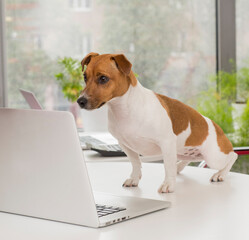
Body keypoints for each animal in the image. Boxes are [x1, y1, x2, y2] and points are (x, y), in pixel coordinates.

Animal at [77, 52, 237, 193]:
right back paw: (179, 166)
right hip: (184, 152)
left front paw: (168, 184)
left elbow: (167, 167)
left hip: (214, 157)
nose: (80, 101)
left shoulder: (166, 143)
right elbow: (135, 162)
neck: (124, 108)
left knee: (232, 156)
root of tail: (218, 128)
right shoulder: (125, 145)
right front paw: (134, 178)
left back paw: (220, 174)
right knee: (190, 158)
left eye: (103, 78)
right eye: (85, 77)